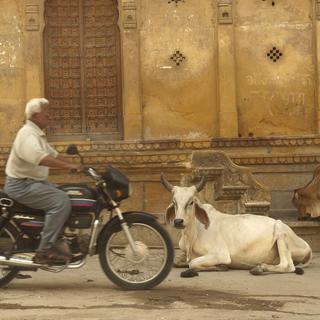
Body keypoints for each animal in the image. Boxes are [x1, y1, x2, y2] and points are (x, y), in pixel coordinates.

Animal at [161, 174, 312, 276]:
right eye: (174, 202)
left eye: (191, 202)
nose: (178, 221)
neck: (192, 234)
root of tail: (307, 246)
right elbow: (178, 262)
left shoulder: (220, 254)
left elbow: (192, 263)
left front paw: (220, 267)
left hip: (281, 232)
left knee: (287, 266)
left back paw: (260, 268)